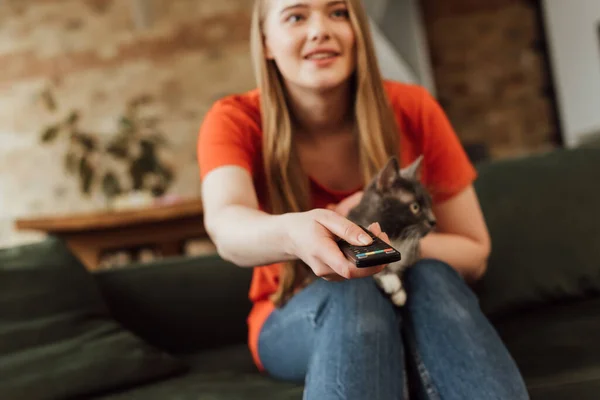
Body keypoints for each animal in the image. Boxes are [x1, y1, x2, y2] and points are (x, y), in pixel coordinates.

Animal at [346, 154, 436, 306]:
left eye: (429, 203)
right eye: (415, 207)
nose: (433, 221)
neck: (395, 236)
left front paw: (399, 293)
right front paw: (390, 280)